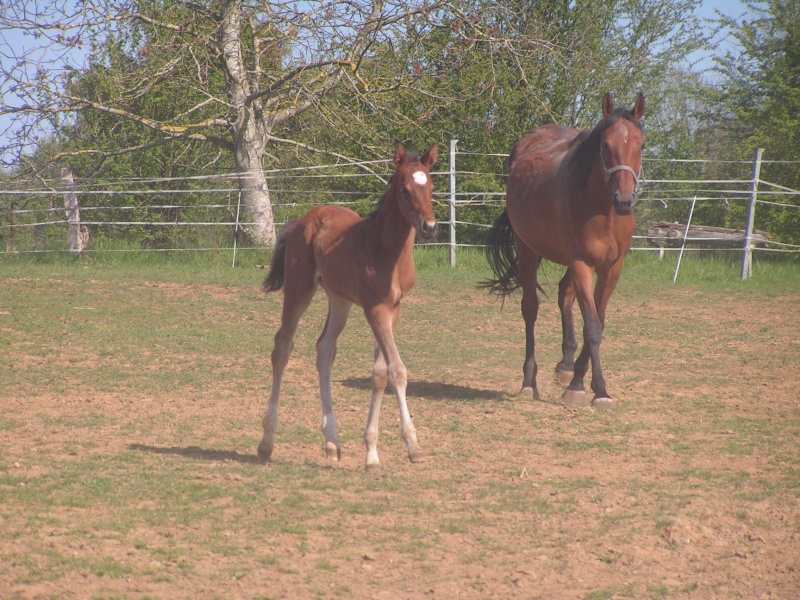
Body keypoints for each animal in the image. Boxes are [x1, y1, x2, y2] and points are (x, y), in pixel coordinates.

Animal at [260, 143, 438, 472]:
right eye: (405, 189)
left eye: (431, 186)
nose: (429, 227)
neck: (386, 250)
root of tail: (304, 219)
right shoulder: (375, 309)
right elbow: (397, 370)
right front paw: (411, 446)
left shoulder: (393, 308)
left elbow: (380, 373)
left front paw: (373, 452)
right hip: (299, 289)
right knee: (282, 348)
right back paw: (266, 442)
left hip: (339, 300)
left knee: (324, 350)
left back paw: (332, 442)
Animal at [482, 94, 644, 410]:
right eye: (605, 145)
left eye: (641, 145)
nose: (624, 200)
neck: (603, 211)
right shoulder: (582, 264)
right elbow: (592, 327)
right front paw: (595, 390)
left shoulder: (612, 268)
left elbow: (599, 323)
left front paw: (578, 380)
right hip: (527, 249)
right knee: (530, 309)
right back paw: (529, 382)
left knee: (563, 295)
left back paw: (565, 365)